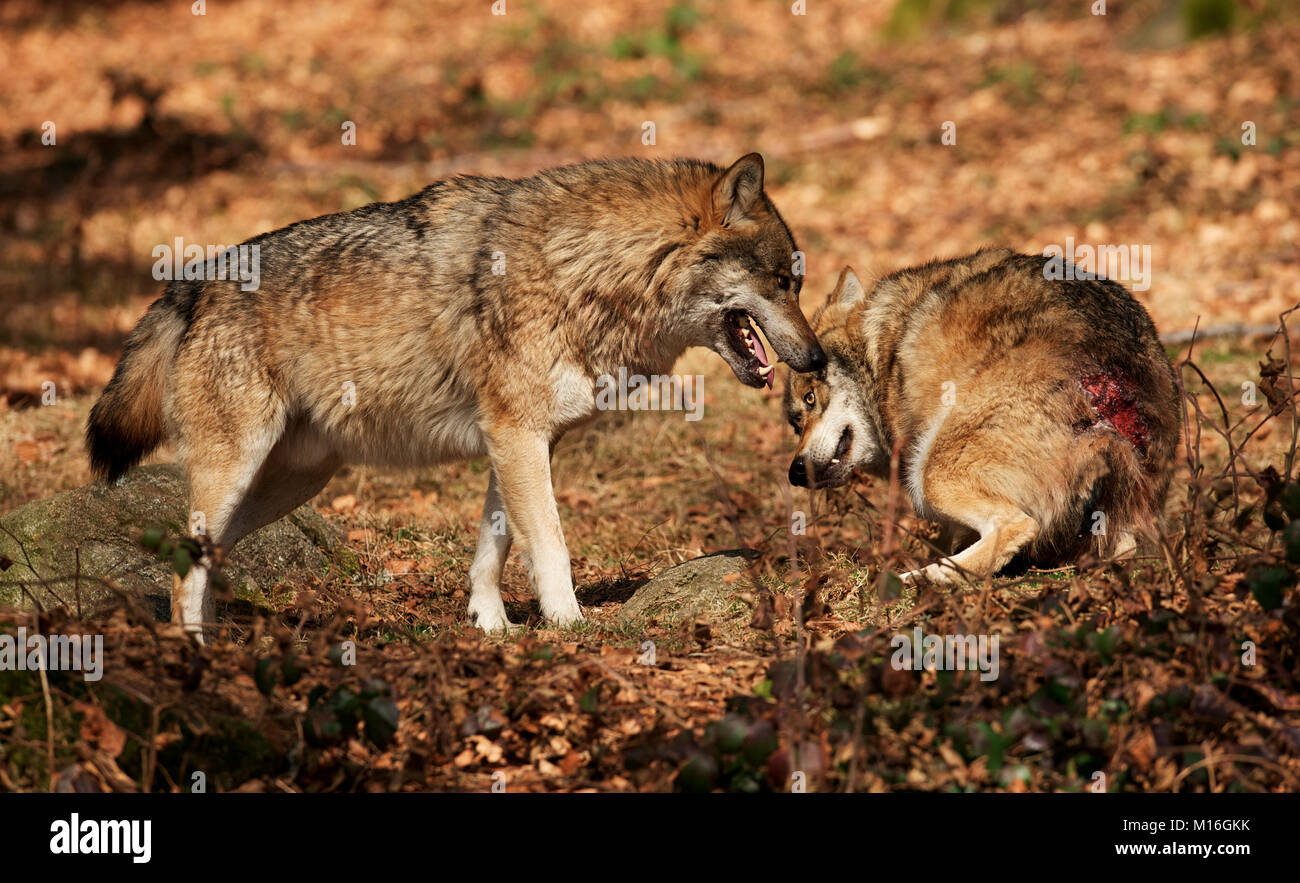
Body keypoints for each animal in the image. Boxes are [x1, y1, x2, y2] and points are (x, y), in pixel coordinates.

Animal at [89, 155, 821, 642]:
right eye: (783, 283)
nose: (816, 359)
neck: (586, 269)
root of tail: (193, 283)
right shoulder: (517, 437)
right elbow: (550, 546)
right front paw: (571, 626)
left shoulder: (519, 442)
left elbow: (492, 550)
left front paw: (492, 628)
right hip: (240, 471)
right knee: (186, 566)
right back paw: (194, 649)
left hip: (291, 482)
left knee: (200, 558)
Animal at [785, 248, 1185, 582]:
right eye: (795, 423)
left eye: (810, 398)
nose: (795, 473)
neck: (881, 349)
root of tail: (1111, 375)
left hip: (928, 474)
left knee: (1016, 527)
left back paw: (918, 581)